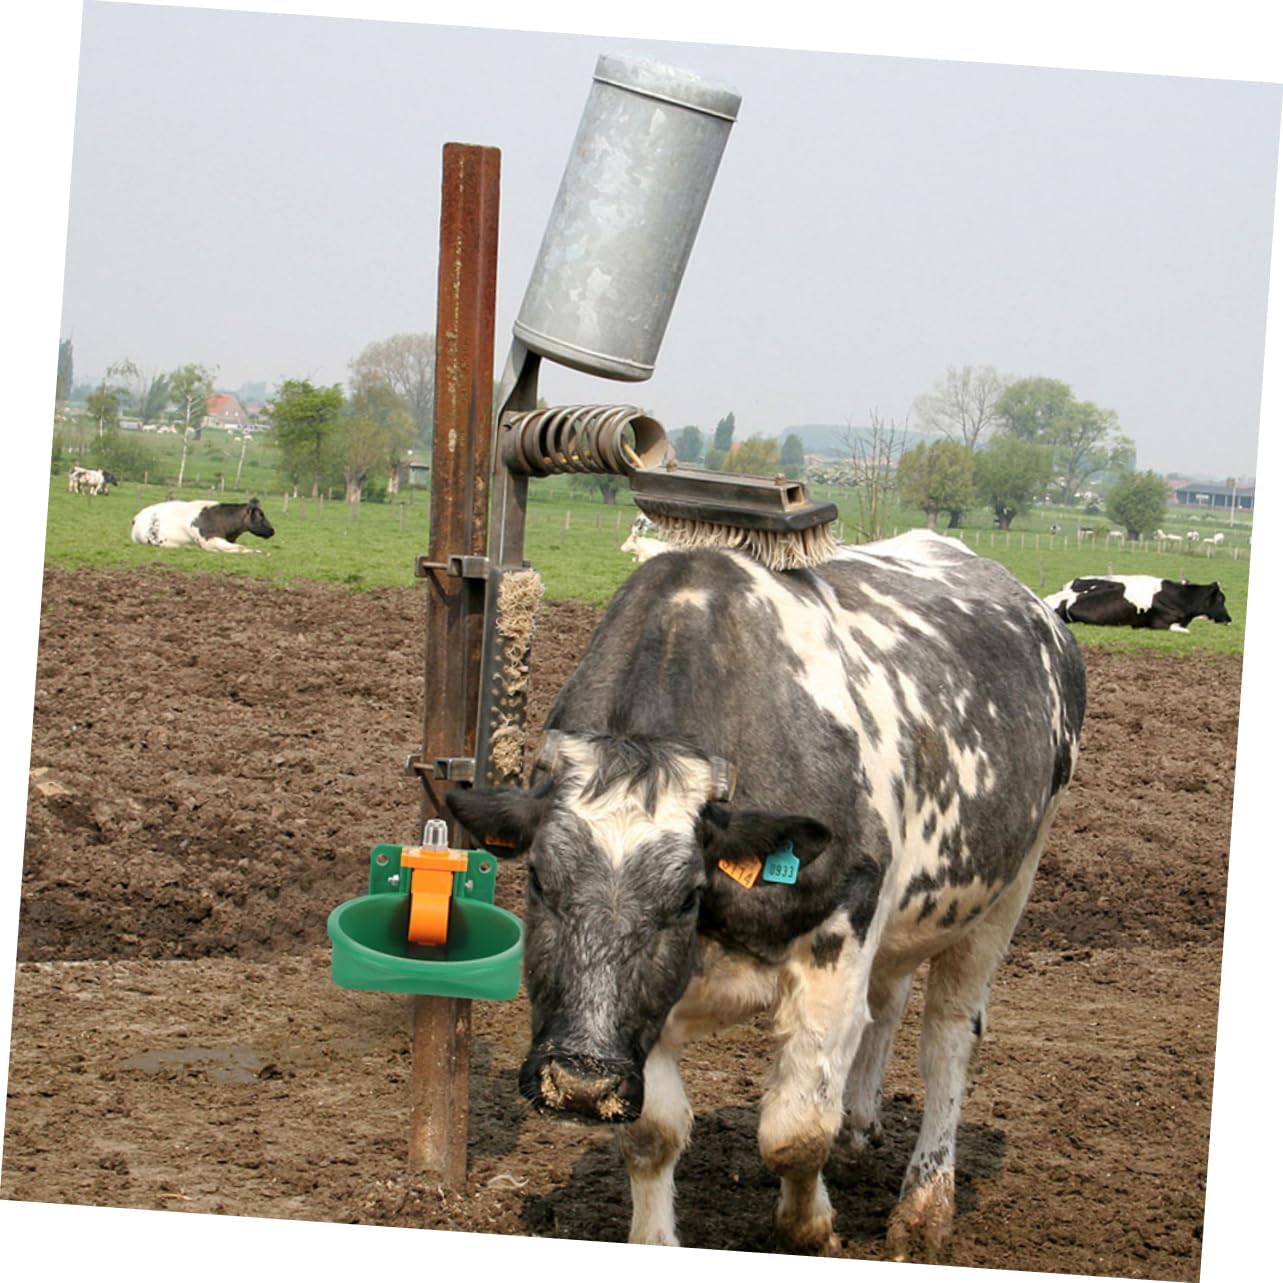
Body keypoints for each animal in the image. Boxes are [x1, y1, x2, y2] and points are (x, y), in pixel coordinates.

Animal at [130, 498, 275, 553]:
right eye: (261, 515)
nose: (272, 530)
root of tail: (137, 517)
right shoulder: (210, 541)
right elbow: (240, 547)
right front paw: (262, 552)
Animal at [445, 528, 1086, 1261]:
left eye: (685, 896)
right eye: (539, 880)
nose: (580, 1082)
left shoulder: (838, 945)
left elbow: (795, 1130)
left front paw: (809, 1226)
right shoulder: (649, 1007)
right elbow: (652, 1134)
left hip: (1005, 891)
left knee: (947, 1038)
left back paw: (925, 1206)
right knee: (888, 1004)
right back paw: (859, 1133)